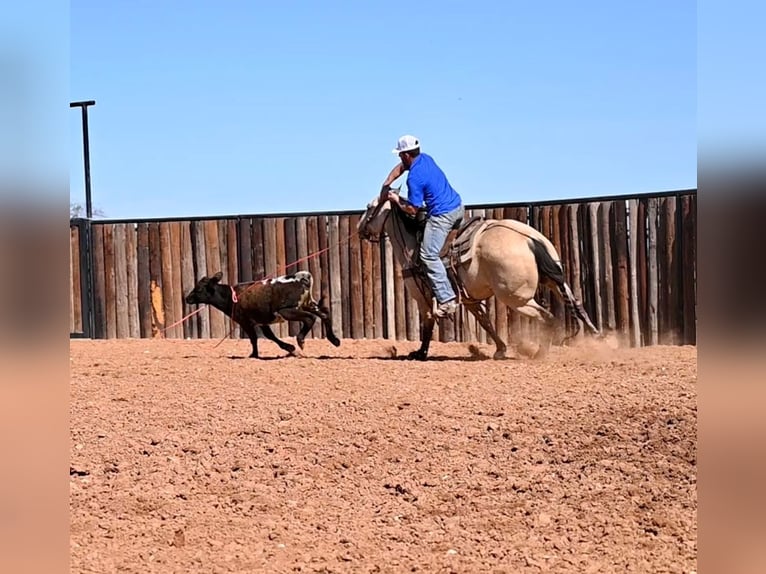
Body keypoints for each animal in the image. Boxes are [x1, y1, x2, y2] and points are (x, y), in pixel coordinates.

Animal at [184, 272, 340, 360]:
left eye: (198, 289)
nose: (187, 298)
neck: (232, 297)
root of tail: (301, 279)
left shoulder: (245, 322)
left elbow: (254, 338)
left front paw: (254, 354)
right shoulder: (263, 321)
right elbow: (269, 335)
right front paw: (289, 348)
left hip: (287, 311)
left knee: (310, 318)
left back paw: (301, 340)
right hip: (309, 305)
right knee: (325, 314)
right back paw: (334, 340)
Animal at [360, 196, 608, 362]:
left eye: (370, 207)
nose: (360, 228)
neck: (413, 244)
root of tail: (529, 240)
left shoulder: (422, 298)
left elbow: (428, 323)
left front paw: (419, 353)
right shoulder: (469, 299)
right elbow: (485, 322)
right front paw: (500, 349)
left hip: (516, 298)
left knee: (547, 318)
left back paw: (540, 353)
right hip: (555, 281)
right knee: (577, 305)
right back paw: (597, 337)